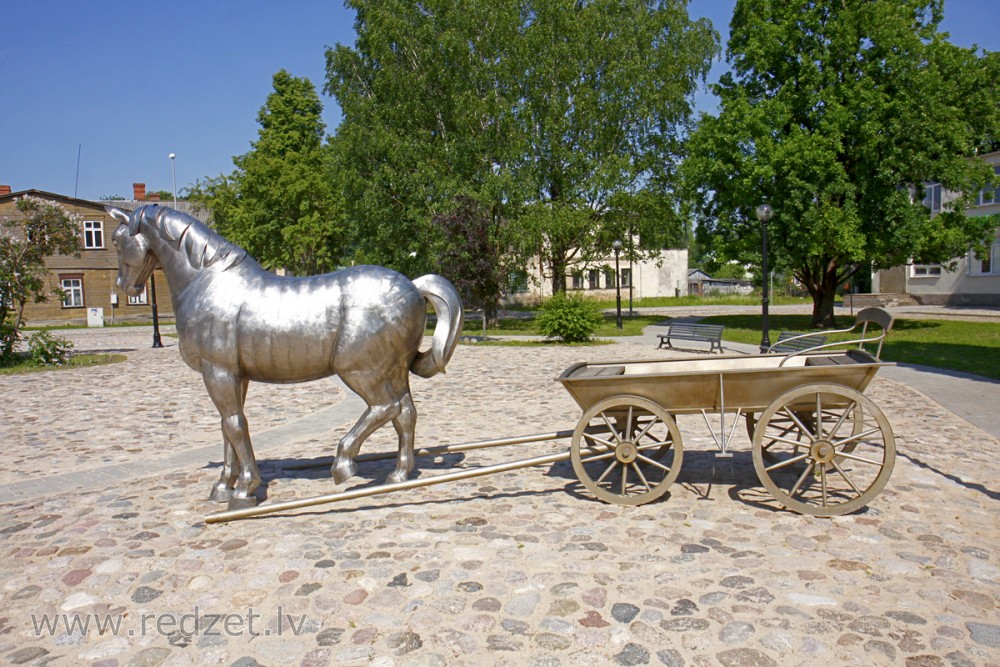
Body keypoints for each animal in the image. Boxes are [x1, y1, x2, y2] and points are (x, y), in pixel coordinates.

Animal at [107, 206, 462, 508]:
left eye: (116, 239)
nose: (125, 286)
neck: (206, 282)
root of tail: (413, 287)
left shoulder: (218, 372)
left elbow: (235, 425)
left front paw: (244, 490)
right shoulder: (233, 375)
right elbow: (227, 427)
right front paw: (222, 486)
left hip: (360, 370)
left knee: (385, 407)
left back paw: (343, 465)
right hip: (393, 371)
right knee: (405, 414)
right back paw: (398, 474)